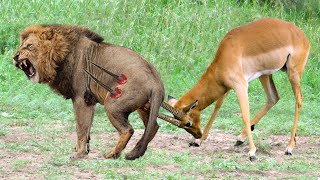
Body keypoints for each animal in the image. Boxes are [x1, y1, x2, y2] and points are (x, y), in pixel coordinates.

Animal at [13, 25, 165, 160]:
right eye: (21, 46)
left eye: (29, 46)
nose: (15, 57)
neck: (59, 56)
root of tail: (156, 81)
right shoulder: (90, 100)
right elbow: (87, 129)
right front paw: (83, 150)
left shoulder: (81, 99)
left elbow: (81, 128)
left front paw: (78, 154)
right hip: (144, 107)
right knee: (153, 126)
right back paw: (135, 152)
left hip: (113, 104)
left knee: (128, 130)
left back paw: (112, 154)